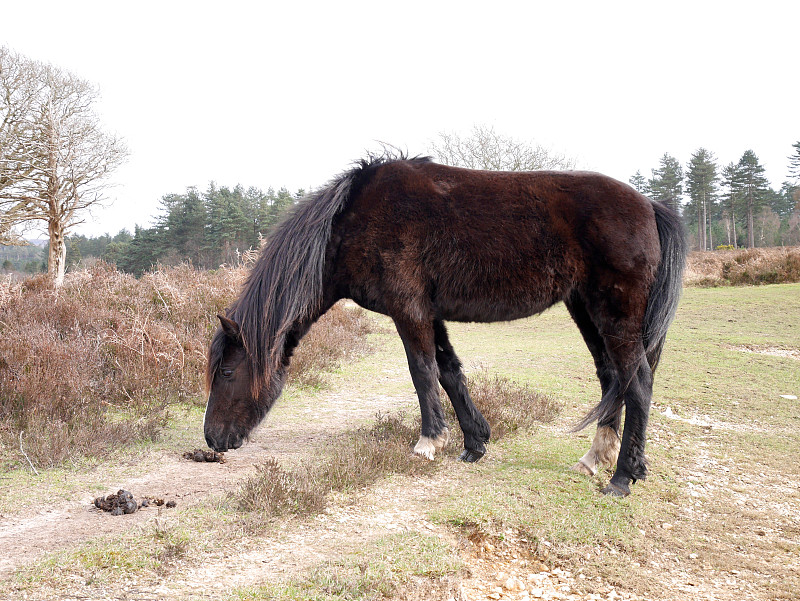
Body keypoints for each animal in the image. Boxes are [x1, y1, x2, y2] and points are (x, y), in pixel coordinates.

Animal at [203, 152, 684, 494]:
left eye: (226, 372)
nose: (212, 439)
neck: (352, 223)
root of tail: (649, 204)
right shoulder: (429, 313)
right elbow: (449, 371)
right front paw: (474, 442)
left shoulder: (409, 311)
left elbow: (422, 371)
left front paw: (428, 442)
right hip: (585, 308)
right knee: (612, 378)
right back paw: (595, 459)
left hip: (614, 314)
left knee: (638, 384)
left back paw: (622, 478)